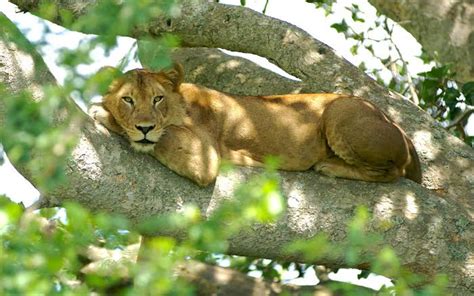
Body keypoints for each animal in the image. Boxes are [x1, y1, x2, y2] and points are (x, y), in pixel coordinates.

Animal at [90, 63, 422, 186]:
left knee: (391, 172)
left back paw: (330, 166)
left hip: (340, 110)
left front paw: (102, 113)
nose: (144, 127)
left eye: (158, 99)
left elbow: (164, 137)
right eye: (128, 100)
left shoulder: (204, 158)